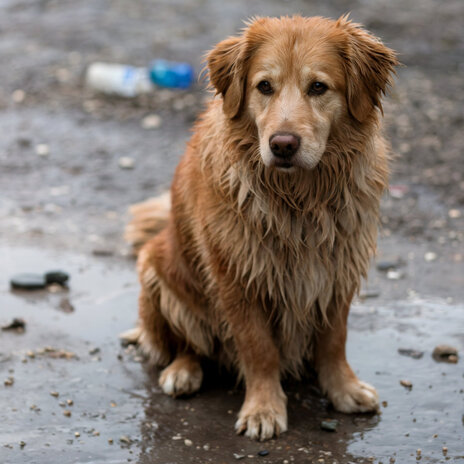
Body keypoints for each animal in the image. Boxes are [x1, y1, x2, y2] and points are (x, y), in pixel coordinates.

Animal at [124, 15, 398, 442]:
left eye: (318, 87)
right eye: (264, 86)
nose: (283, 144)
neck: (299, 199)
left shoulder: (338, 266)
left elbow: (334, 340)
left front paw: (344, 389)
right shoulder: (236, 275)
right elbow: (259, 348)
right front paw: (264, 409)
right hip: (156, 267)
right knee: (186, 343)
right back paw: (183, 372)